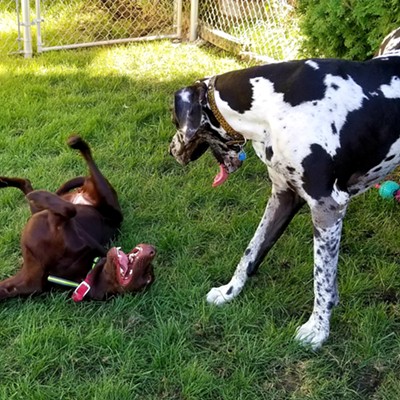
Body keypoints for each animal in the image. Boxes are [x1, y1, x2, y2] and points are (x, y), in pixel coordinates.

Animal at [0, 136, 155, 302]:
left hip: (101, 197)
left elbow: (69, 210)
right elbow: (69, 210)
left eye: (147, 277)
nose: (153, 250)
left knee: (31, 185)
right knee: (28, 182)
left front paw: (37, 195)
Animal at [169, 29, 400, 348]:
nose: (171, 151)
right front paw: (229, 291)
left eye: (173, 119)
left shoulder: (328, 206)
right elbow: (252, 249)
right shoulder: (283, 195)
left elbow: (321, 276)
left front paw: (318, 329)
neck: (273, 107)